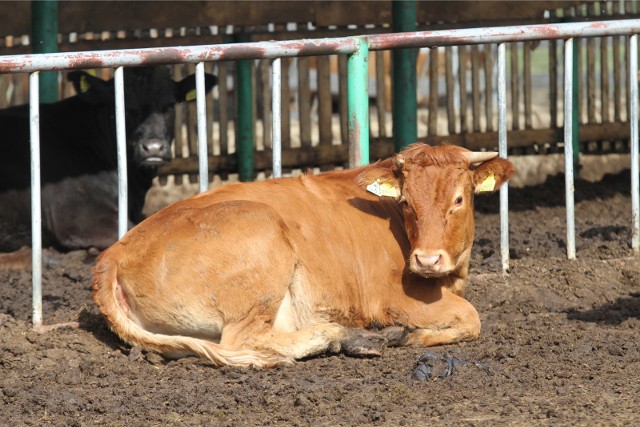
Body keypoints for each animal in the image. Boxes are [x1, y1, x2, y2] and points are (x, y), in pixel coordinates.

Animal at [92, 144, 516, 368]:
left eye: (458, 200)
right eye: (407, 203)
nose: (426, 260)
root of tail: (114, 252)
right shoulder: (393, 298)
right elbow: (471, 317)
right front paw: (413, 336)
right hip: (262, 242)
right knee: (241, 341)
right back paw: (347, 336)